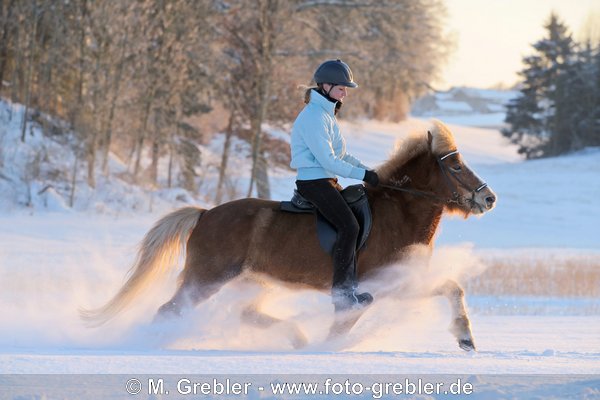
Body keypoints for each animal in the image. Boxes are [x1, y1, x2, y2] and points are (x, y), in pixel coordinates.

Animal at [84, 120, 496, 352]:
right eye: (455, 167)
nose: (488, 198)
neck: (399, 211)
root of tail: (204, 215)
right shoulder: (383, 283)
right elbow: (445, 289)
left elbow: (452, 288)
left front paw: (466, 339)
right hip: (207, 278)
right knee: (169, 311)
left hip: (252, 280)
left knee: (245, 313)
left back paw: (296, 337)